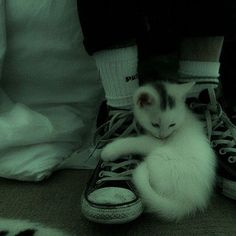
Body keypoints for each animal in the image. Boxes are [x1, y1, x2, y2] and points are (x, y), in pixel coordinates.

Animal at [100, 81, 217, 221]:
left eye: (172, 124)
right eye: (155, 124)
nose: (163, 136)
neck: (184, 117)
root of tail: (188, 201)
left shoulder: (156, 143)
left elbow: (134, 142)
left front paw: (109, 151)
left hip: (159, 157)